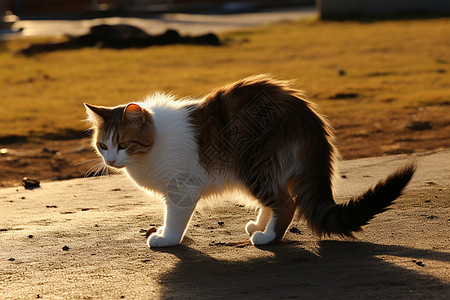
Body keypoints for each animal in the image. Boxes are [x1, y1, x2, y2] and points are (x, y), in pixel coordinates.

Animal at [84, 74, 414, 247]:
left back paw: (268, 238)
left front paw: (166, 239)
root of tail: (306, 113)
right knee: (276, 200)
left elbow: (175, 219)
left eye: (124, 144)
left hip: (254, 166)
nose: (111, 160)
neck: (154, 143)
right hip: (263, 171)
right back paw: (260, 226)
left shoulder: (182, 189)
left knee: (286, 202)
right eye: (103, 145)